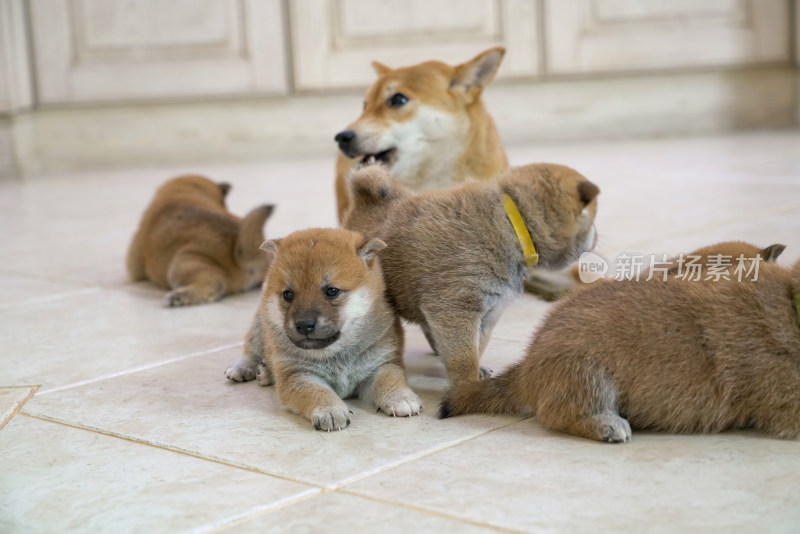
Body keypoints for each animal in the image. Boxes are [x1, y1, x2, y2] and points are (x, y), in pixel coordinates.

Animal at [222, 227, 422, 432]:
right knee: (252, 349)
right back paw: (244, 368)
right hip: (261, 325)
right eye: (288, 294)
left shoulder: (380, 364)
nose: (304, 324)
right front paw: (330, 410)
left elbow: (390, 378)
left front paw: (400, 397)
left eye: (331, 291)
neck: (336, 354)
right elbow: (316, 391)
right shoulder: (297, 375)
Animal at [344, 163, 600, 386]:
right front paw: (468, 384)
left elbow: (478, 345)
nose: (597, 236)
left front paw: (478, 371)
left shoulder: (489, 310)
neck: (515, 225)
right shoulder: (457, 308)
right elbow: (464, 358)